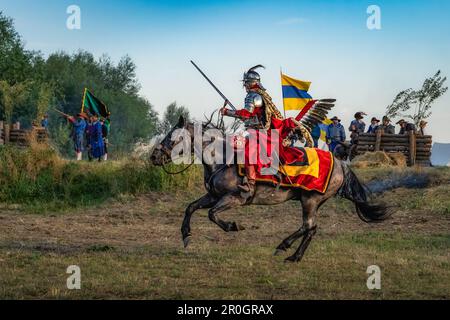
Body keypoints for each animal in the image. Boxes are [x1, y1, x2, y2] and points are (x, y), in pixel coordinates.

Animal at [151, 117, 390, 262]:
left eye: (173, 137)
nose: (154, 156)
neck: (222, 159)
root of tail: (341, 163)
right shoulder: (212, 195)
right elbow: (191, 207)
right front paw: (185, 235)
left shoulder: (234, 198)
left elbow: (211, 214)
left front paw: (233, 226)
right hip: (313, 202)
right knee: (311, 229)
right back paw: (294, 256)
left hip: (310, 200)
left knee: (308, 226)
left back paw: (284, 246)